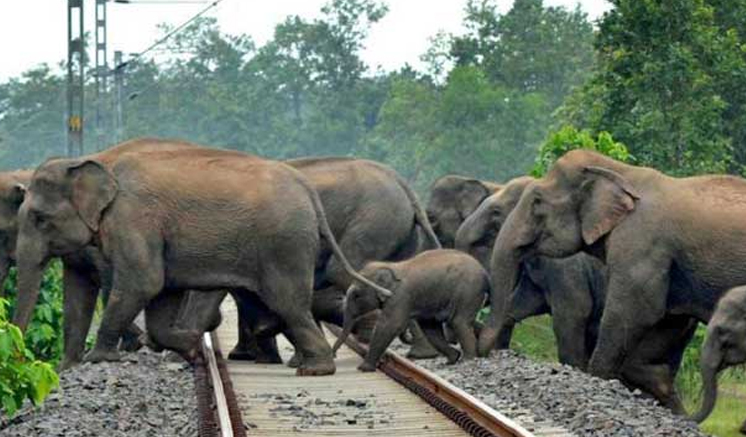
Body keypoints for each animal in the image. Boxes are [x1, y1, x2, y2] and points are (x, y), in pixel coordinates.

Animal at [13, 145, 393, 376]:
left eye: (39, 218)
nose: (15, 355)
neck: (94, 158)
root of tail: (308, 191)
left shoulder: (134, 219)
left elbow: (143, 282)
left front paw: (100, 359)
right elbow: (158, 295)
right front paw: (192, 351)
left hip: (284, 245)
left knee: (289, 303)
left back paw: (314, 369)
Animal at [331, 249, 489, 372]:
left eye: (356, 295)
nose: (334, 355)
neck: (389, 265)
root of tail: (485, 272)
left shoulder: (399, 297)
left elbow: (389, 326)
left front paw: (363, 368)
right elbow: (429, 327)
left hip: (469, 290)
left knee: (458, 322)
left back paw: (468, 360)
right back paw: (454, 359)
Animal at [479, 149, 746, 388]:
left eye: (537, 202)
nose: (481, 354)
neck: (621, 171)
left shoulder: (640, 244)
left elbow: (634, 311)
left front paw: (593, 378)